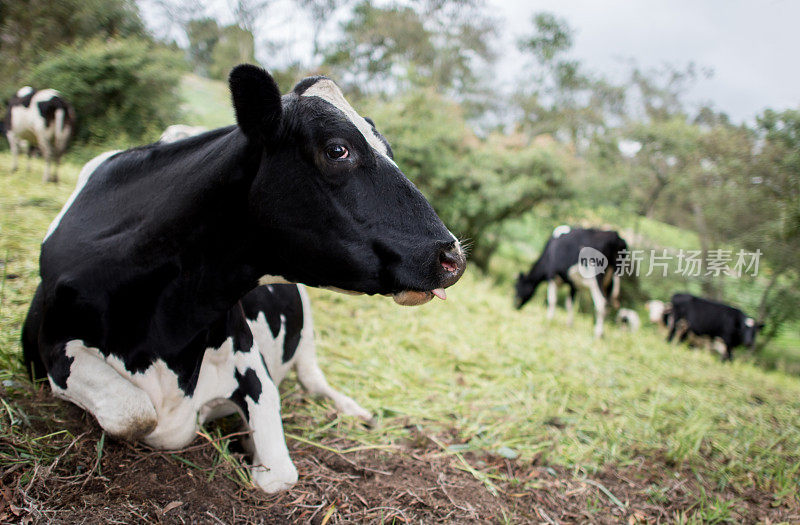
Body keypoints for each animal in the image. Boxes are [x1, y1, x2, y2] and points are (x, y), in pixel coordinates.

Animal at [21, 64, 466, 492]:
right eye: (338, 149)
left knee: (315, 380)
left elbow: (278, 475)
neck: (165, 330)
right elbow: (134, 413)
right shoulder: (49, 346)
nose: (452, 255)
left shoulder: (249, 360)